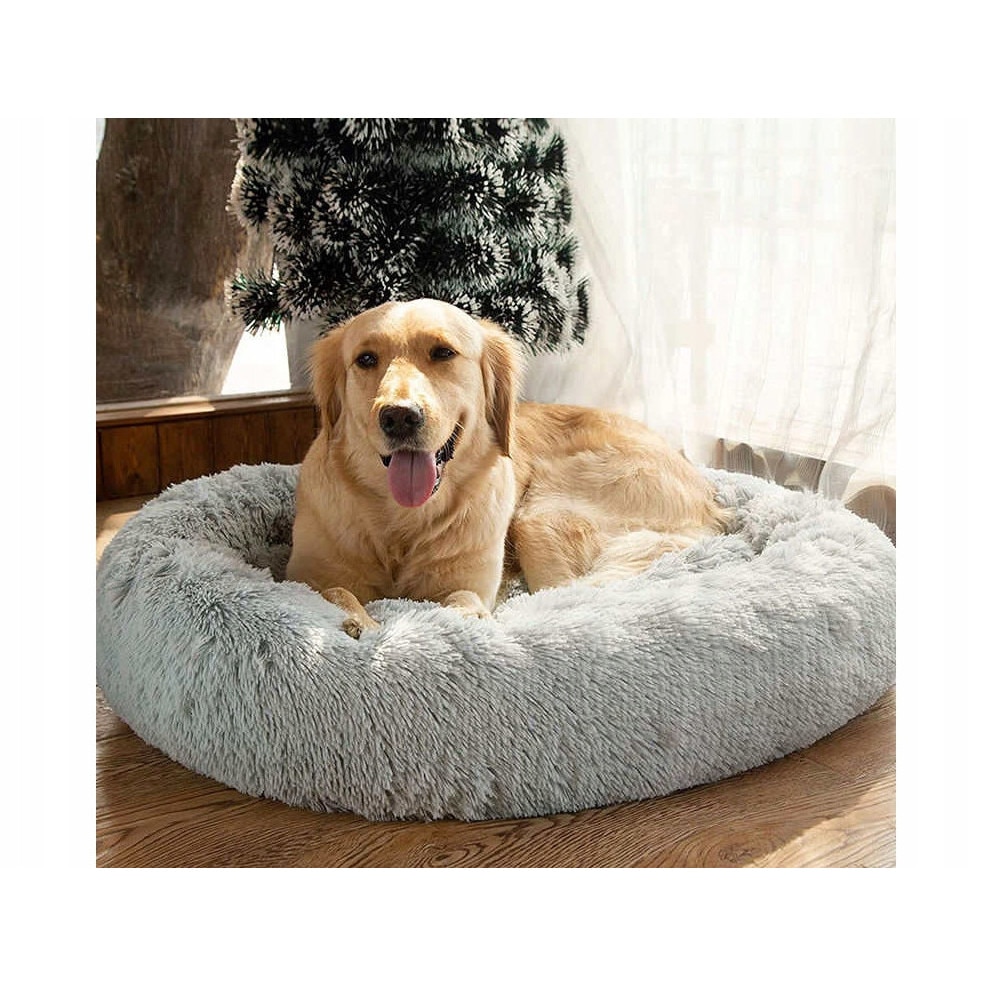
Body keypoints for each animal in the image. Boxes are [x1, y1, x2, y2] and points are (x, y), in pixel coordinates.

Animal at [286, 298, 730, 637]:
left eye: (443, 352)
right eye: (365, 359)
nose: (399, 417)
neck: (403, 520)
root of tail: (711, 500)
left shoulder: (471, 582)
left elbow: (462, 601)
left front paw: (457, 619)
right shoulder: (301, 573)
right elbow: (335, 591)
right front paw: (358, 619)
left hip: (543, 516)